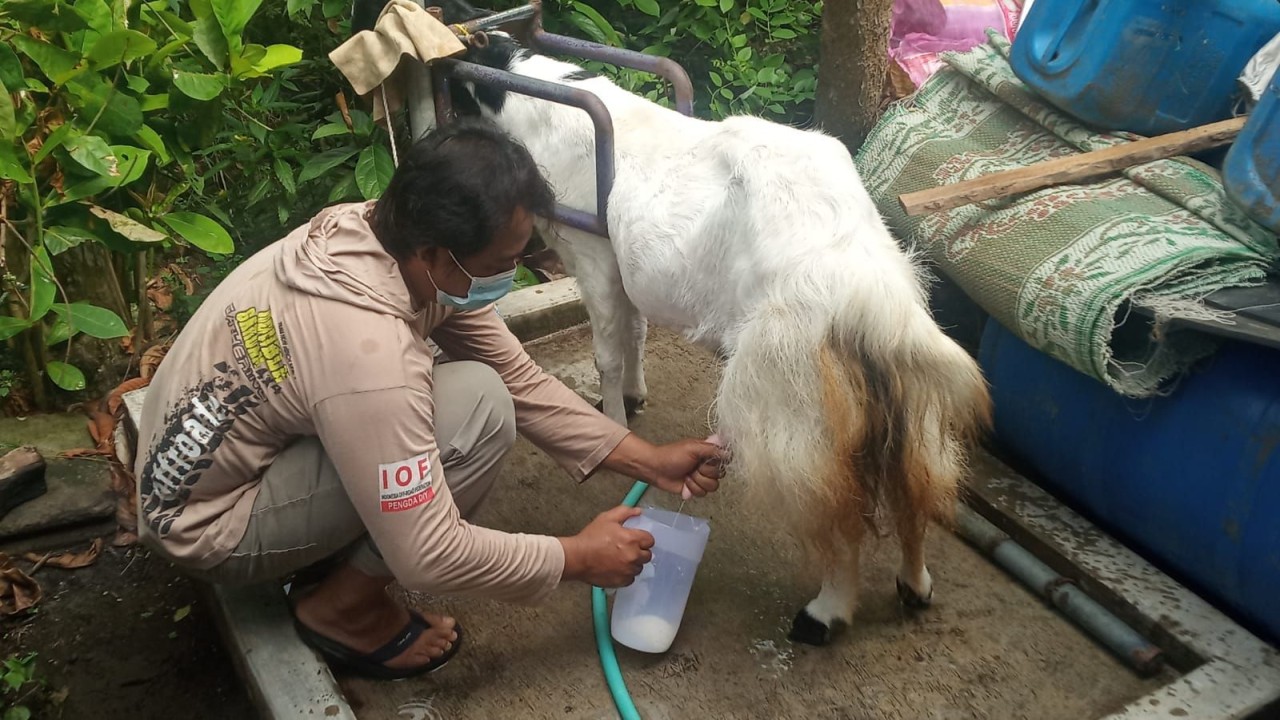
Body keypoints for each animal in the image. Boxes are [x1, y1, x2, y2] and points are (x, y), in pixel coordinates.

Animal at [355, 0, 993, 638]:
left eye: (453, 87)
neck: (537, 103)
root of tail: (871, 297)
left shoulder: (594, 256)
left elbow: (608, 351)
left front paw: (614, 415)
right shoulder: (626, 265)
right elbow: (636, 330)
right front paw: (635, 398)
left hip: (794, 398)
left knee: (835, 508)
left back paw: (823, 613)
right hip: (907, 396)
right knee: (915, 484)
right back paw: (914, 585)